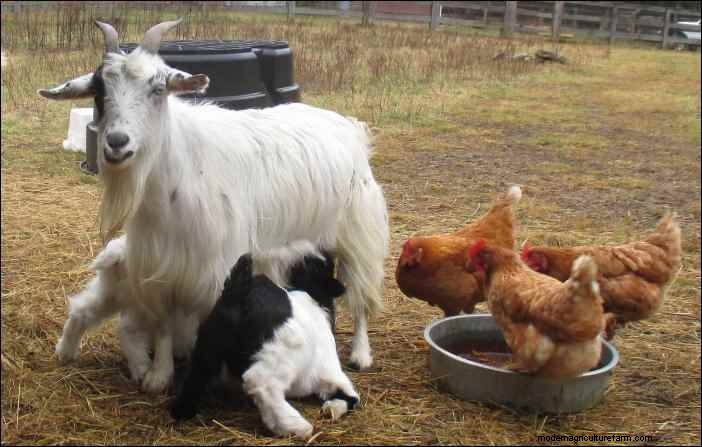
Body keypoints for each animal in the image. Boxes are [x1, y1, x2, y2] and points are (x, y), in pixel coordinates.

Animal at [41, 20, 388, 393]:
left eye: (158, 89)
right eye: (98, 90)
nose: (117, 143)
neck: (178, 166)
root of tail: (350, 127)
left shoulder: (216, 269)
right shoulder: (159, 268)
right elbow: (163, 325)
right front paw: (159, 375)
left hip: (358, 233)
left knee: (361, 295)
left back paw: (361, 353)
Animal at [171, 253, 358, 439]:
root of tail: (240, 289)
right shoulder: (331, 373)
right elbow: (352, 397)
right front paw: (331, 409)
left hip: (210, 341)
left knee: (197, 373)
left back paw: (182, 413)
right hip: (283, 355)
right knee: (261, 383)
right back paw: (296, 427)